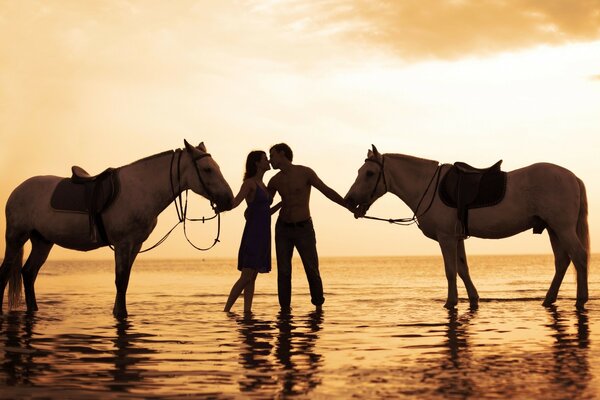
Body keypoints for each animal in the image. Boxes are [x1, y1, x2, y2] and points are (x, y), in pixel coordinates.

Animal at [1, 139, 233, 318]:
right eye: (207, 169)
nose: (229, 200)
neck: (141, 189)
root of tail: (18, 190)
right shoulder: (123, 243)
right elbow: (120, 280)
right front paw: (120, 313)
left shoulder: (135, 245)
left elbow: (126, 279)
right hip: (16, 237)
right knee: (6, 271)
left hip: (43, 241)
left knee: (28, 273)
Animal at [344, 146, 588, 310]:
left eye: (369, 173)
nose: (349, 200)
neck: (426, 186)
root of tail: (573, 177)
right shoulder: (457, 237)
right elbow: (463, 269)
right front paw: (473, 299)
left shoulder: (446, 238)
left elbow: (450, 271)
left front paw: (450, 302)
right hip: (553, 229)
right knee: (562, 261)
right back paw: (548, 299)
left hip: (563, 228)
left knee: (579, 256)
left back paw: (580, 299)